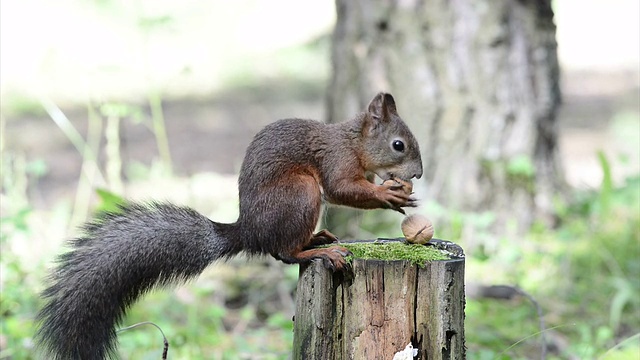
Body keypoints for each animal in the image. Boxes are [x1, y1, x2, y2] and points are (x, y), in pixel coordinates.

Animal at [36, 91, 424, 358]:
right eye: (398, 145)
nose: (418, 174)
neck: (353, 141)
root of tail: (249, 231)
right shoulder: (336, 161)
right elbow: (342, 189)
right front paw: (389, 195)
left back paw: (319, 238)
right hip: (299, 193)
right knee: (284, 252)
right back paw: (320, 252)